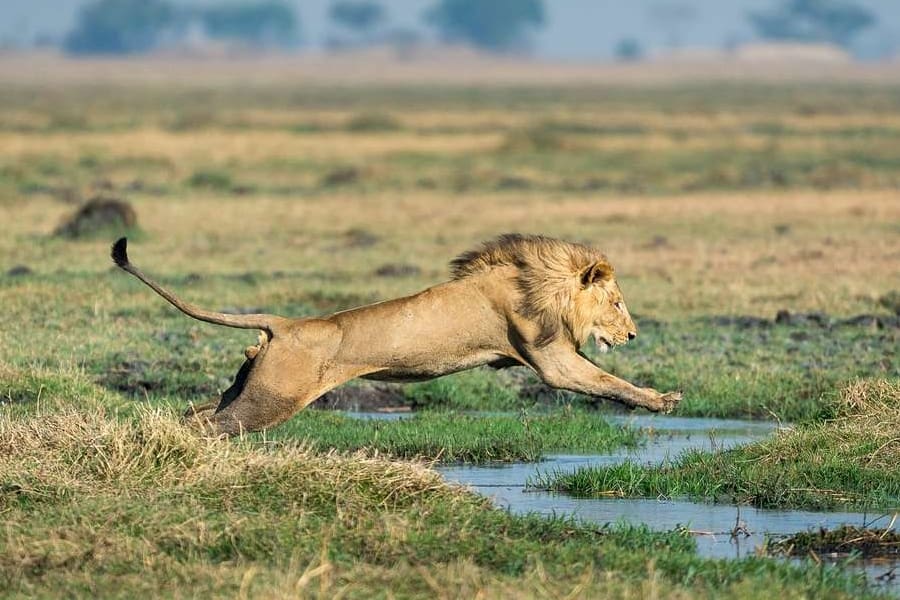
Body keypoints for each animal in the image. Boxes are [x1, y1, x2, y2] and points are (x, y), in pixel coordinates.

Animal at [109, 234, 680, 436]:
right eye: (617, 303)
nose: (633, 335)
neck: (542, 283)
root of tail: (286, 324)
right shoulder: (551, 360)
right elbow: (607, 382)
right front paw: (662, 400)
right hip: (272, 400)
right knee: (212, 424)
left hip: (251, 386)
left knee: (197, 410)